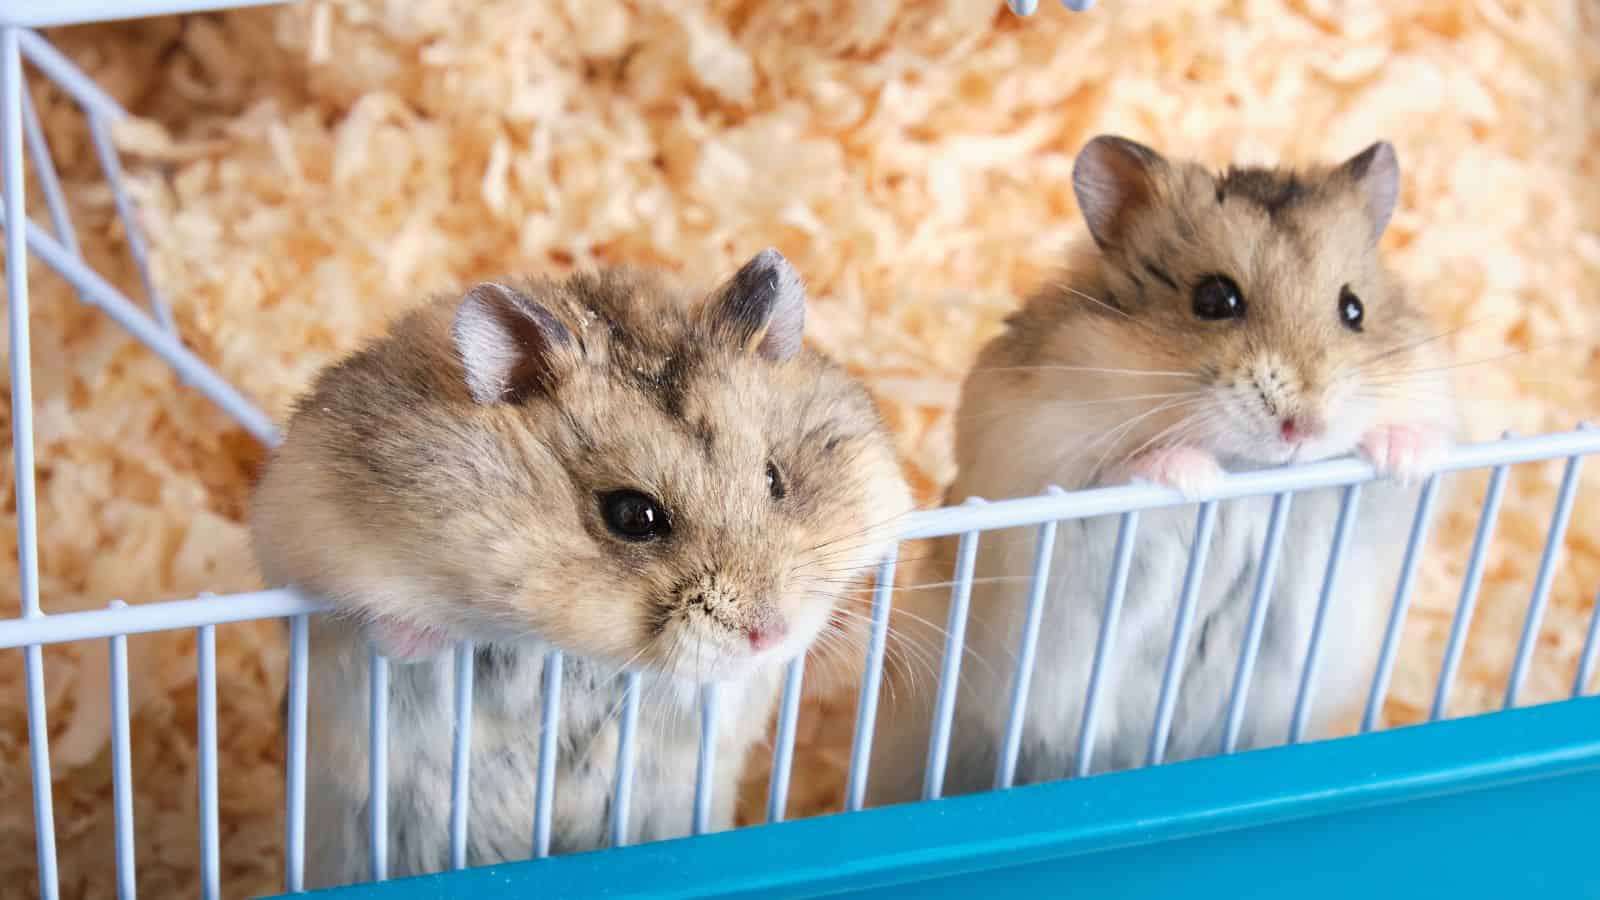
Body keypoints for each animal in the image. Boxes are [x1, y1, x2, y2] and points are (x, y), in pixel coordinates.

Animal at [250, 249, 912, 887]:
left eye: (775, 479)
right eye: (633, 515)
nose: (770, 637)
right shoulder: (306, 537)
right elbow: (384, 623)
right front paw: (412, 635)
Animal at [866, 136, 1457, 805]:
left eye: (1353, 309)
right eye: (1215, 299)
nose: (1301, 427)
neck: (1253, 472)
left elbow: (1396, 470)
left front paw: (1406, 455)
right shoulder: (1047, 477)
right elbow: (1124, 470)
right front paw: (1194, 478)